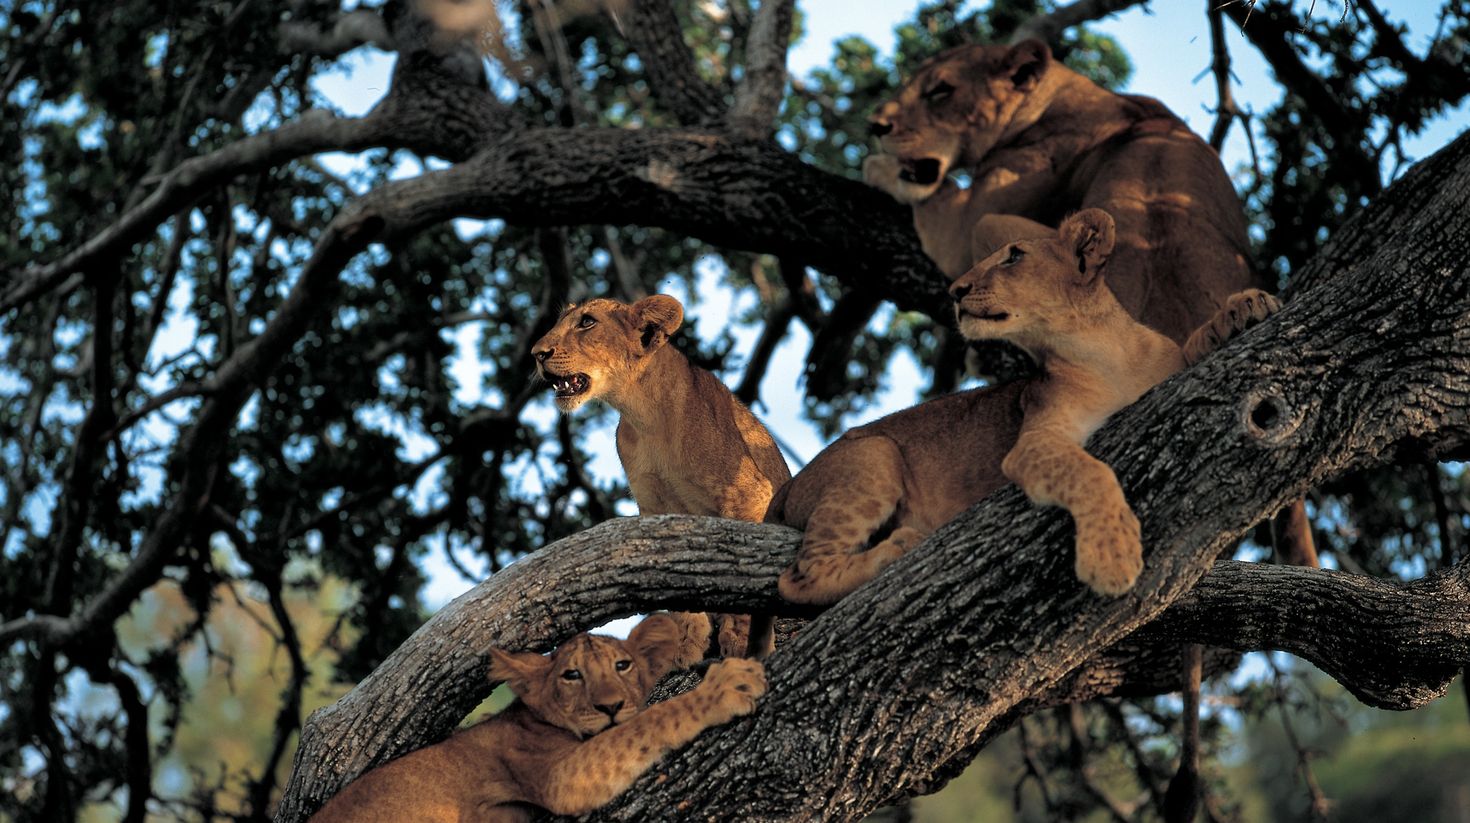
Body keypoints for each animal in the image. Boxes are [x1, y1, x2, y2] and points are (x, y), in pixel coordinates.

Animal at [308, 613, 766, 822]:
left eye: (623, 666)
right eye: (572, 675)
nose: (610, 706)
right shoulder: (558, 775)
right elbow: (649, 721)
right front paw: (727, 685)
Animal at [531, 295, 792, 655]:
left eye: (587, 322)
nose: (537, 353)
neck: (644, 415)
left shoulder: (748, 494)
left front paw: (741, 639)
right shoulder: (655, 508)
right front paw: (684, 641)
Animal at [772, 209, 1281, 604]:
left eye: (1014, 255)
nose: (955, 291)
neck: (1101, 351)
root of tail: (791, 486)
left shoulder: (1165, 368)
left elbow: (1192, 346)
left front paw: (1244, 309)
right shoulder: (1035, 438)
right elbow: (1091, 473)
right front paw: (1111, 557)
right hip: (873, 455)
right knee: (798, 577)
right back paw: (895, 551)